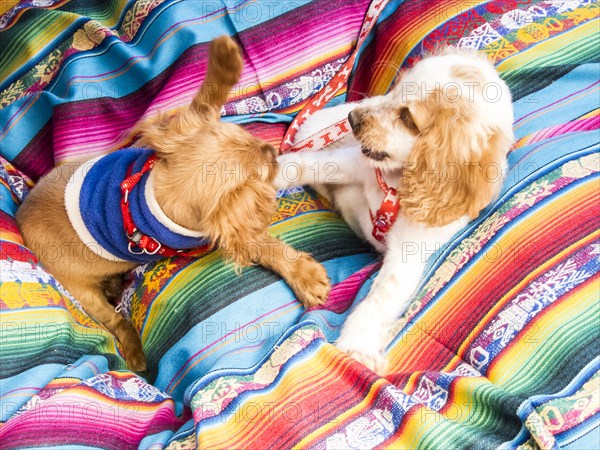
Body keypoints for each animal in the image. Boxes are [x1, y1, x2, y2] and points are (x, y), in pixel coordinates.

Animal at [16, 36, 330, 372]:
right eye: (262, 171)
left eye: (249, 137)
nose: (272, 151)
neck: (153, 192)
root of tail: (20, 216)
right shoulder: (212, 235)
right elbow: (261, 243)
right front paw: (304, 275)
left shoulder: (185, 127)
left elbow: (207, 96)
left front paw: (225, 60)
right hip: (84, 295)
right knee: (115, 321)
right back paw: (135, 352)